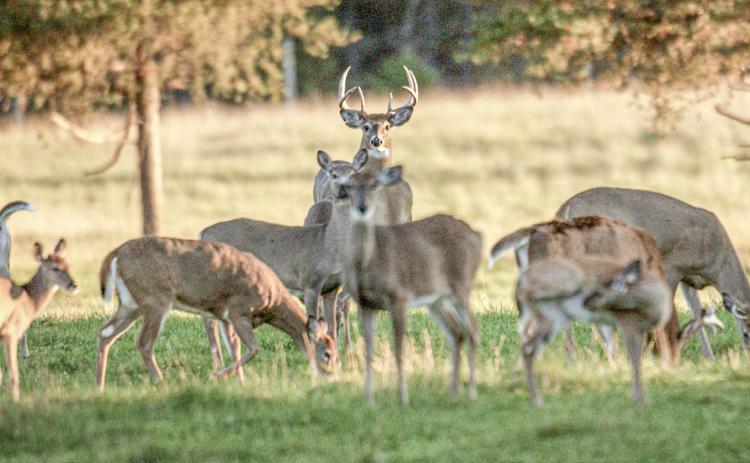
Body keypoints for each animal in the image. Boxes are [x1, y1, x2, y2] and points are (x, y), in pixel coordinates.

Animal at [0, 239, 78, 401]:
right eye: (55, 268)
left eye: (67, 264)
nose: (74, 285)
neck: (28, 298)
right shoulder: (10, 331)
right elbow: (12, 371)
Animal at [95, 236, 337, 391]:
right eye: (327, 354)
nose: (332, 375)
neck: (273, 301)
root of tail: (115, 254)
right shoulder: (239, 310)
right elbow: (253, 349)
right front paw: (216, 376)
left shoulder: (225, 317)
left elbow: (235, 349)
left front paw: (239, 383)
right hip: (156, 299)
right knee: (143, 342)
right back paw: (161, 382)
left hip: (130, 304)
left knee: (105, 333)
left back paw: (99, 386)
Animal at [339, 165, 482, 405]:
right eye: (349, 186)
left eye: (375, 184)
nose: (362, 207)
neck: (368, 263)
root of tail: (477, 236)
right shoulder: (366, 304)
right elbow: (369, 350)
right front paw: (368, 399)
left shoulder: (399, 296)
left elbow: (399, 349)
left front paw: (402, 397)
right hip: (436, 299)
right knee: (457, 332)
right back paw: (452, 391)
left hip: (462, 285)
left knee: (472, 330)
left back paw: (471, 392)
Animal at [489, 216, 724, 405]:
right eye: (678, 346)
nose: (672, 368)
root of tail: (529, 234)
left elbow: (606, 331)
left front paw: (613, 367)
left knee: (525, 331)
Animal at [554, 187, 750, 357]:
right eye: (747, 334)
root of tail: (564, 209)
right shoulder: (672, 265)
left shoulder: (688, 279)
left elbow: (696, 311)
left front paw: (709, 357)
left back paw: (574, 356)